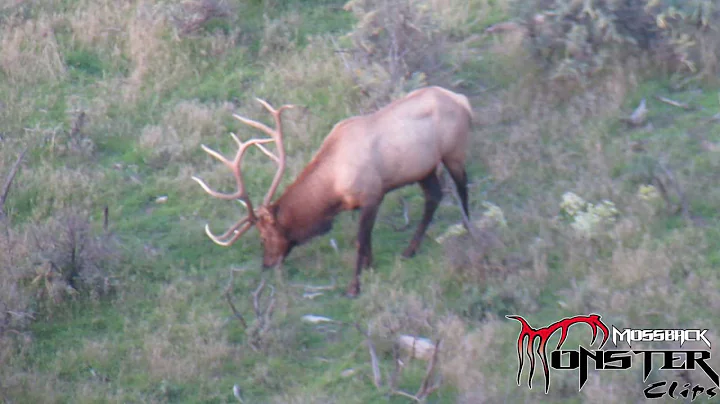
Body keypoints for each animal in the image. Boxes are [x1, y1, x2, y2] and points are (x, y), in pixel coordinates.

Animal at [192, 86, 473, 297]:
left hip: (455, 152)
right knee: (434, 197)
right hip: (424, 169)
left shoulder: (372, 194)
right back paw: (409, 250)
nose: (266, 264)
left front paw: (354, 287)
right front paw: (370, 267)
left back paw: (470, 231)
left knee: (462, 188)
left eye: (263, 237)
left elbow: (360, 240)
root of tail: (463, 100)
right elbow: (367, 240)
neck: (333, 191)